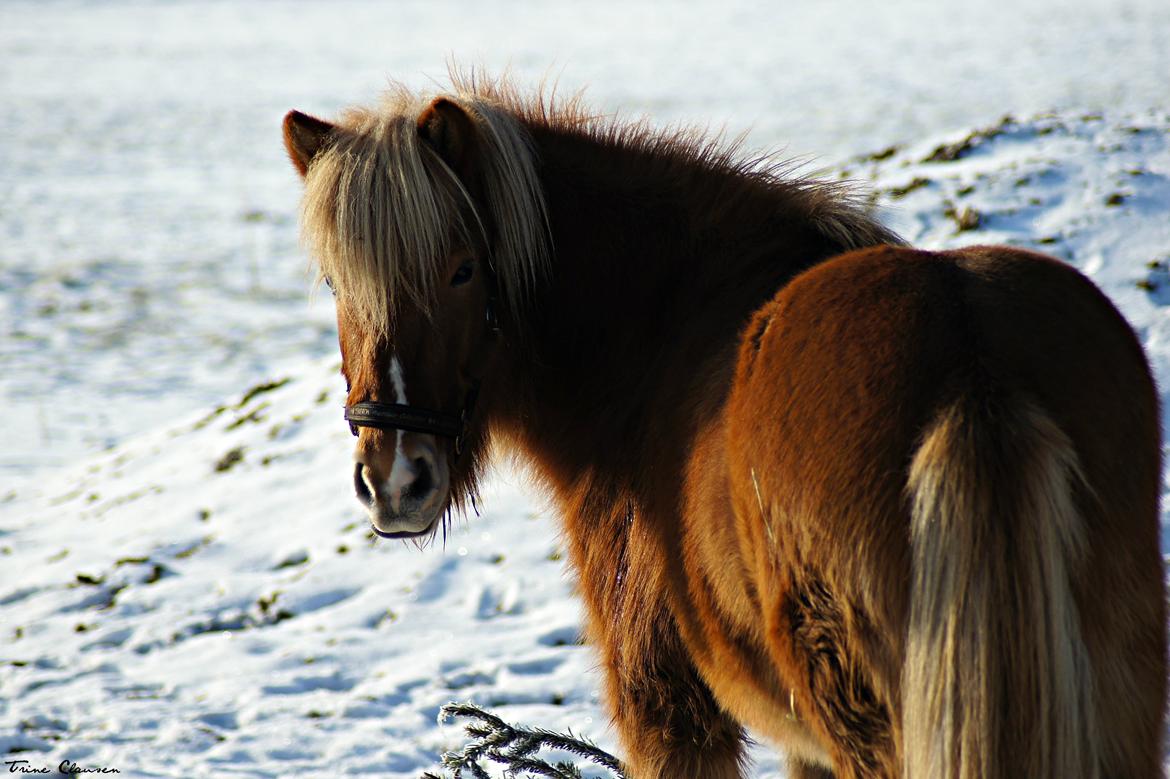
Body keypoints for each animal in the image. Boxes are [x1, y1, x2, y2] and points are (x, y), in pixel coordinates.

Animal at [278, 74, 1165, 776]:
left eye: (462, 269)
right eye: (335, 283)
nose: (395, 478)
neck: (660, 334)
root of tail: (974, 359)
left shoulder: (668, 710)